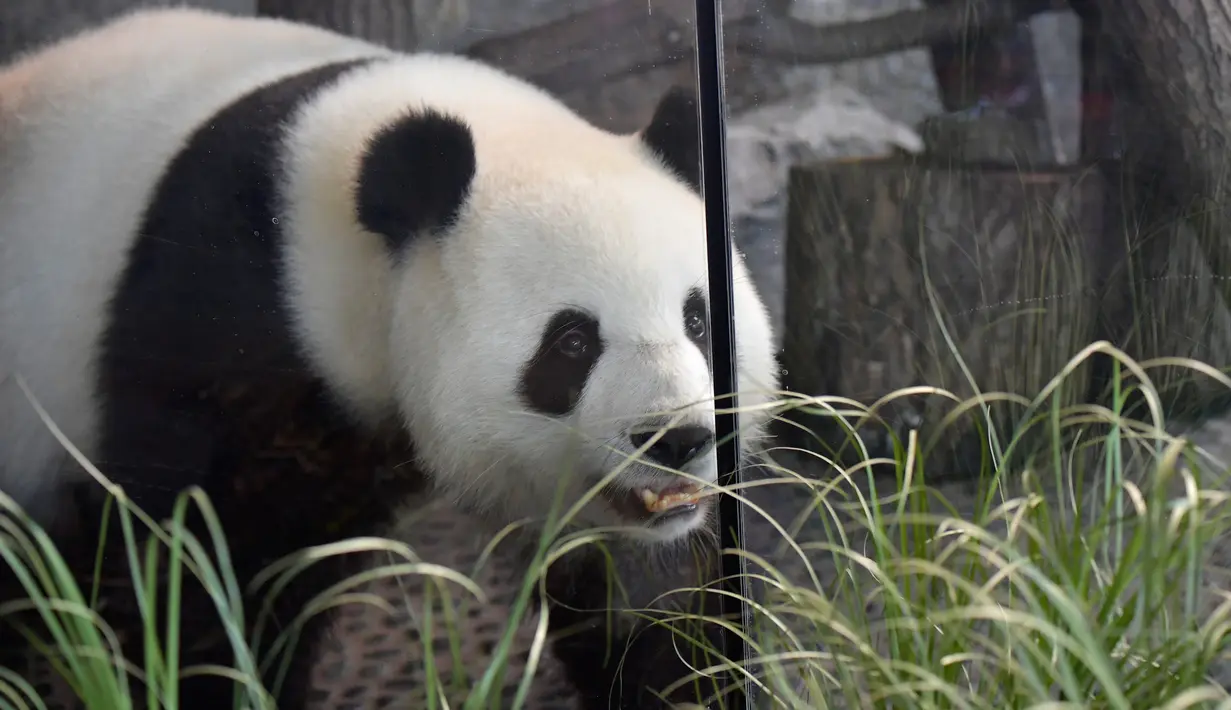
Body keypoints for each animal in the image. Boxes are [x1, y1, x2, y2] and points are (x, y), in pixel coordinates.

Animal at [0, 6, 777, 708]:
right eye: (572, 342)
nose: (677, 440)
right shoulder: (221, 312)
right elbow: (208, 556)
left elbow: (644, 594)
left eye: (698, 320)